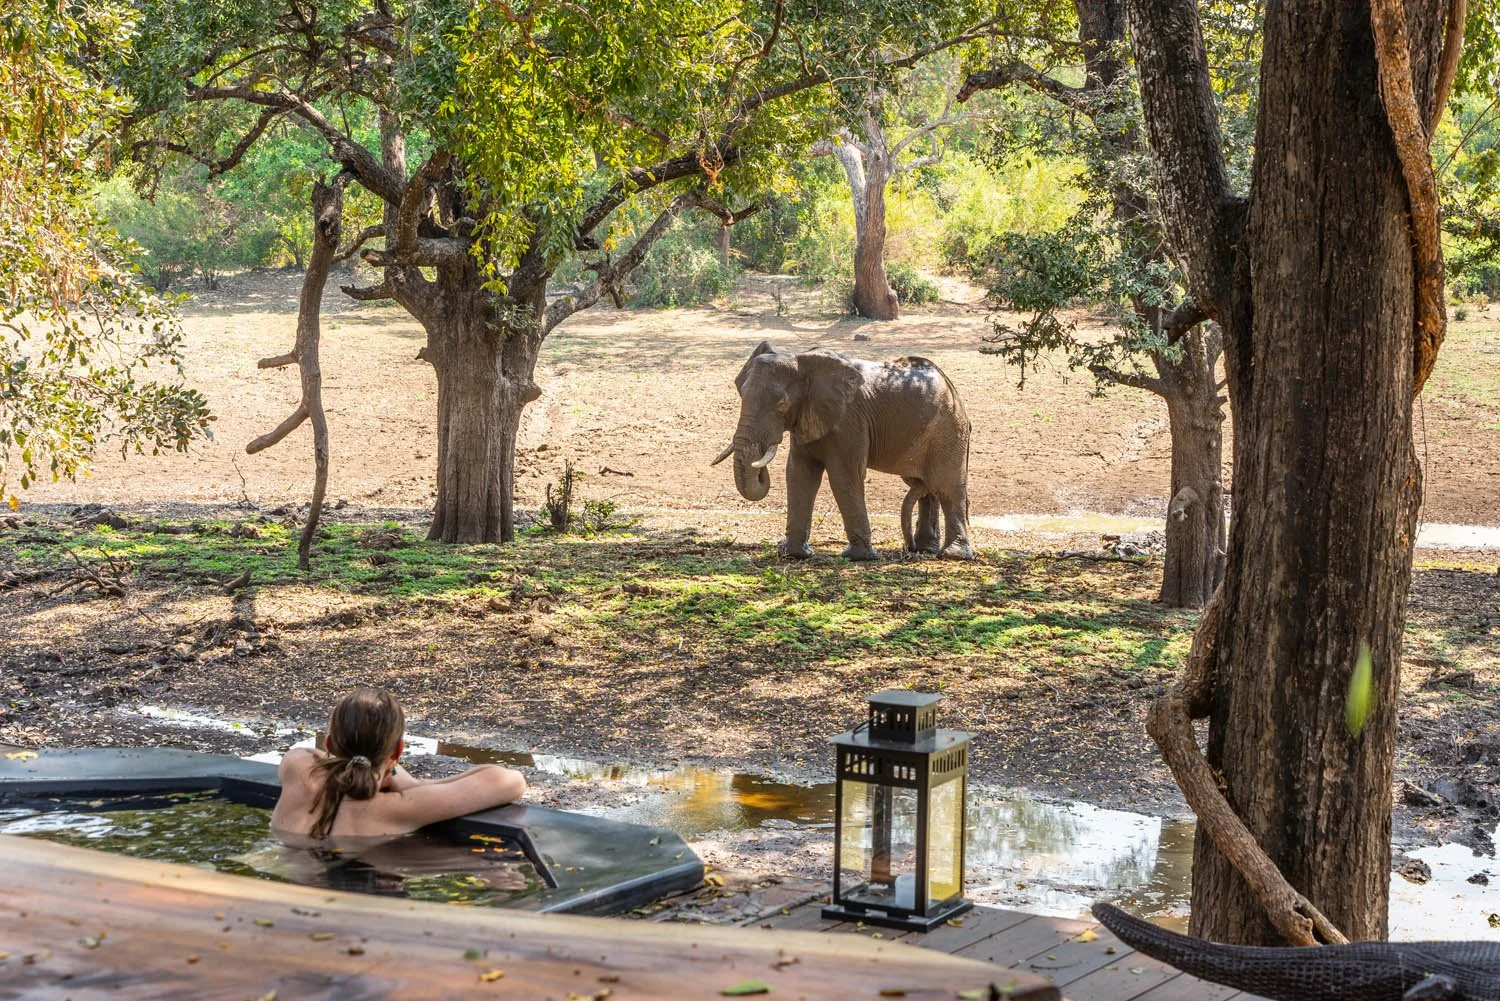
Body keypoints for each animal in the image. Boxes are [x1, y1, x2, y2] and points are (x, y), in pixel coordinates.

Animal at [711, 340, 973, 561]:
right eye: (741, 394)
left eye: (782, 404)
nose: (760, 466)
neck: (802, 360)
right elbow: (799, 474)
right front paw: (793, 554)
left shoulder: (849, 420)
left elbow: (843, 476)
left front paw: (858, 557)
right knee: (924, 486)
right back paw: (925, 549)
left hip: (948, 430)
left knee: (946, 487)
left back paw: (953, 555)